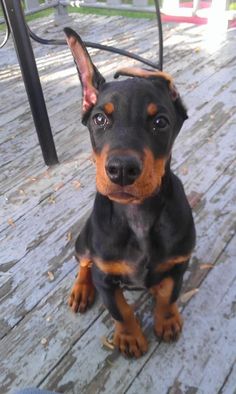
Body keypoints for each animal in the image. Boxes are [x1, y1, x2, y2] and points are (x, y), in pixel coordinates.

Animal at [64, 27, 195, 358]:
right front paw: (129, 337)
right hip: (84, 240)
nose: (122, 169)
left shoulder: (179, 263)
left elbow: (169, 295)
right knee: (83, 261)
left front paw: (167, 320)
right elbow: (120, 310)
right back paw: (81, 290)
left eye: (160, 122)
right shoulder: (105, 277)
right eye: (99, 119)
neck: (137, 215)